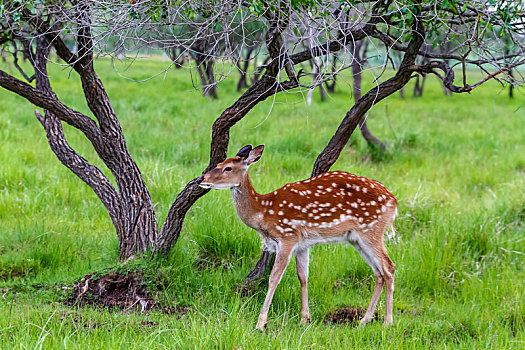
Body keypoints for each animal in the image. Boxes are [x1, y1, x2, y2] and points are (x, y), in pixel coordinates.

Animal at [199, 144, 396, 330]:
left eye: (228, 168)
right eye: (217, 164)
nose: (202, 178)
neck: (263, 212)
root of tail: (393, 202)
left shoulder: (287, 236)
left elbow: (274, 278)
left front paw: (260, 324)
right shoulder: (303, 244)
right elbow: (303, 277)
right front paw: (304, 319)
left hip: (371, 229)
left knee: (389, 267)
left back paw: (387, 322)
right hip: (356, 238)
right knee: (378, 272)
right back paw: (364, 320)